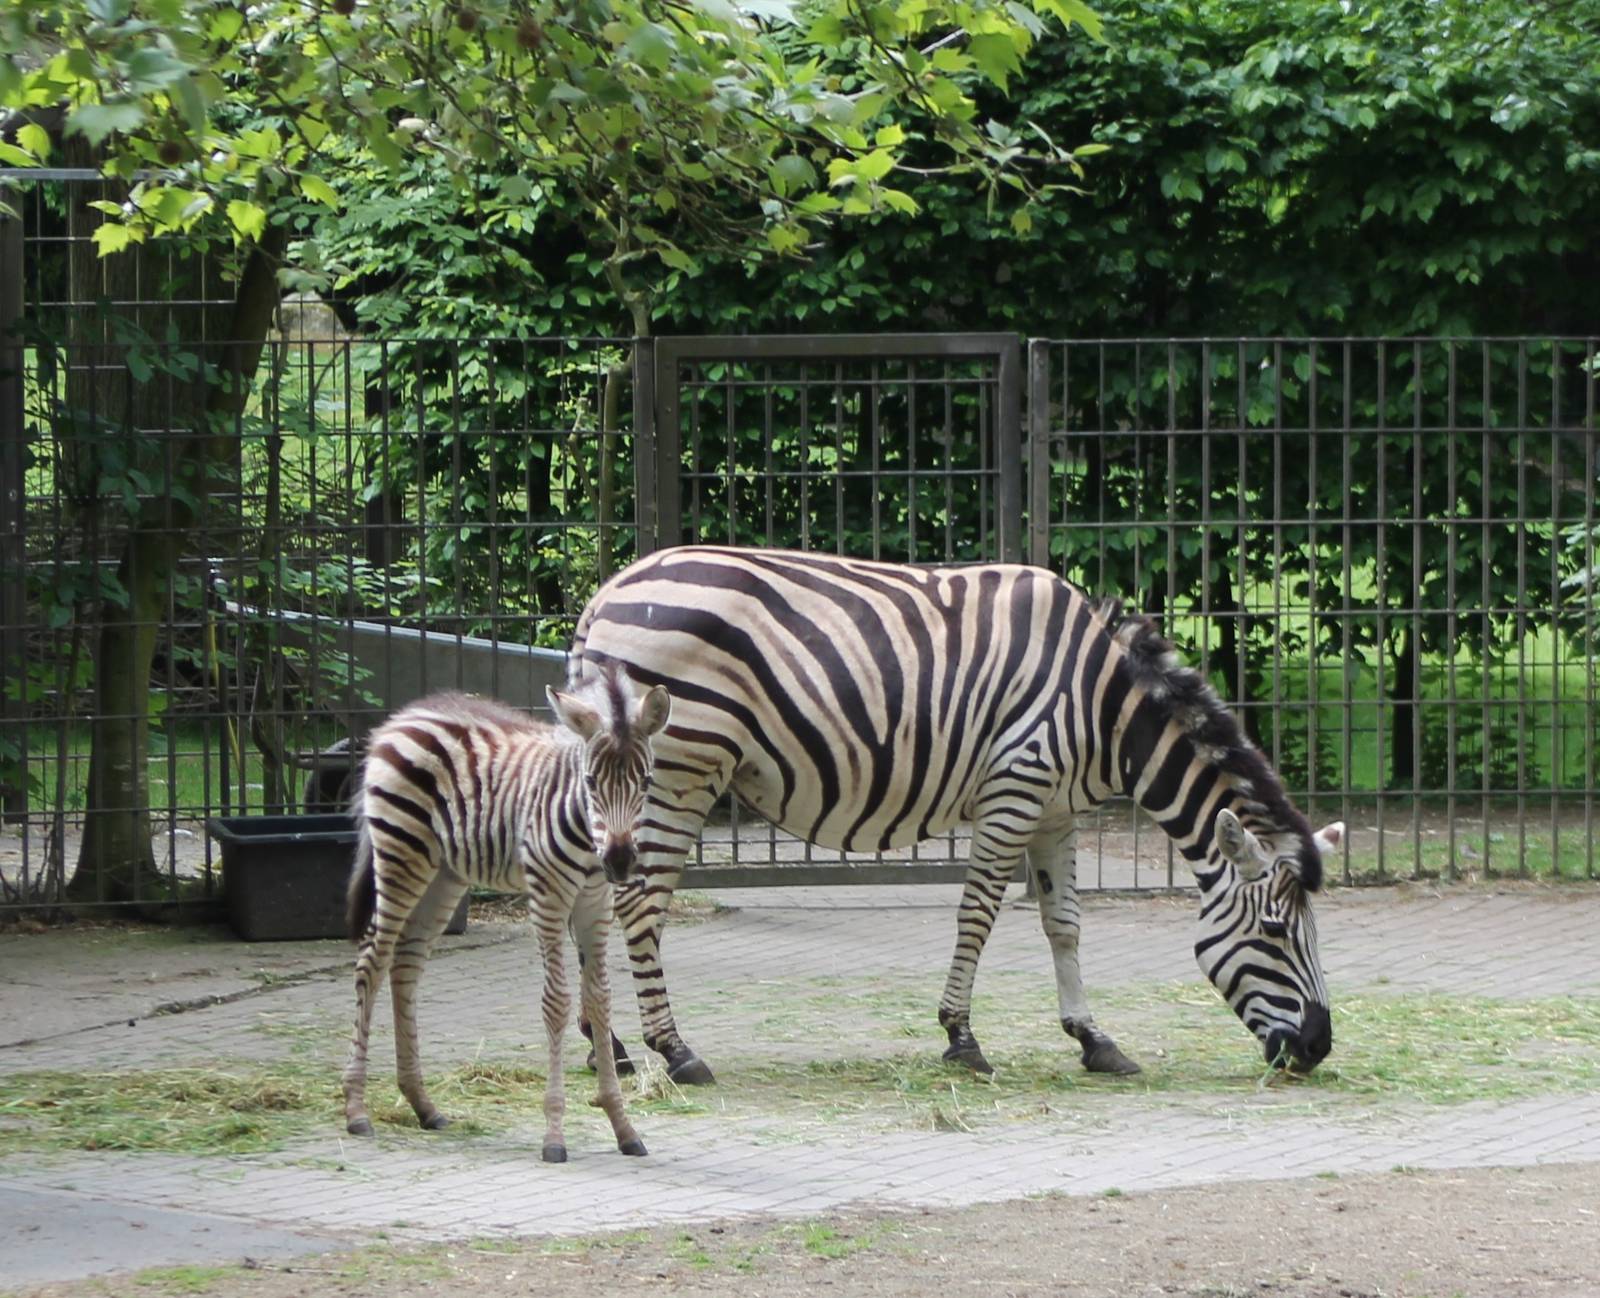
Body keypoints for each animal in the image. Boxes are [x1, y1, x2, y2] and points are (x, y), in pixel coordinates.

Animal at [341, 667, 670, 1163]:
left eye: (647, 782)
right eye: (590, 782)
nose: (618, 861)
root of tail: (403, 717)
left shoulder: (595, 902)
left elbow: (600, 1001)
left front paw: (623, 1126)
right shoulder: (549, 897)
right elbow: (557, 1002)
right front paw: (554, 1134)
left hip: (445, 874)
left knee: (406, 965)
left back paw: (423, 1105)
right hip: (401, 854)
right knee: (372, 963)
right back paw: (357, 1110)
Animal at [569, 545, 1343, 1085]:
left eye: (1312, 934)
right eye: (1276, 933)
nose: (1317, 1047)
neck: (1106, 707)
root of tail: (605, 596)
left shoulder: (1057, 813)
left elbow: (1065, 925)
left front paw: (1094, 1038)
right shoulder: (1015, 789)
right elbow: (977, 917)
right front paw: (961, 1038)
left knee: (597, 899)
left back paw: (609, 1044)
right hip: (680, 769)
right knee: (638, 903)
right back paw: (675, 1050)